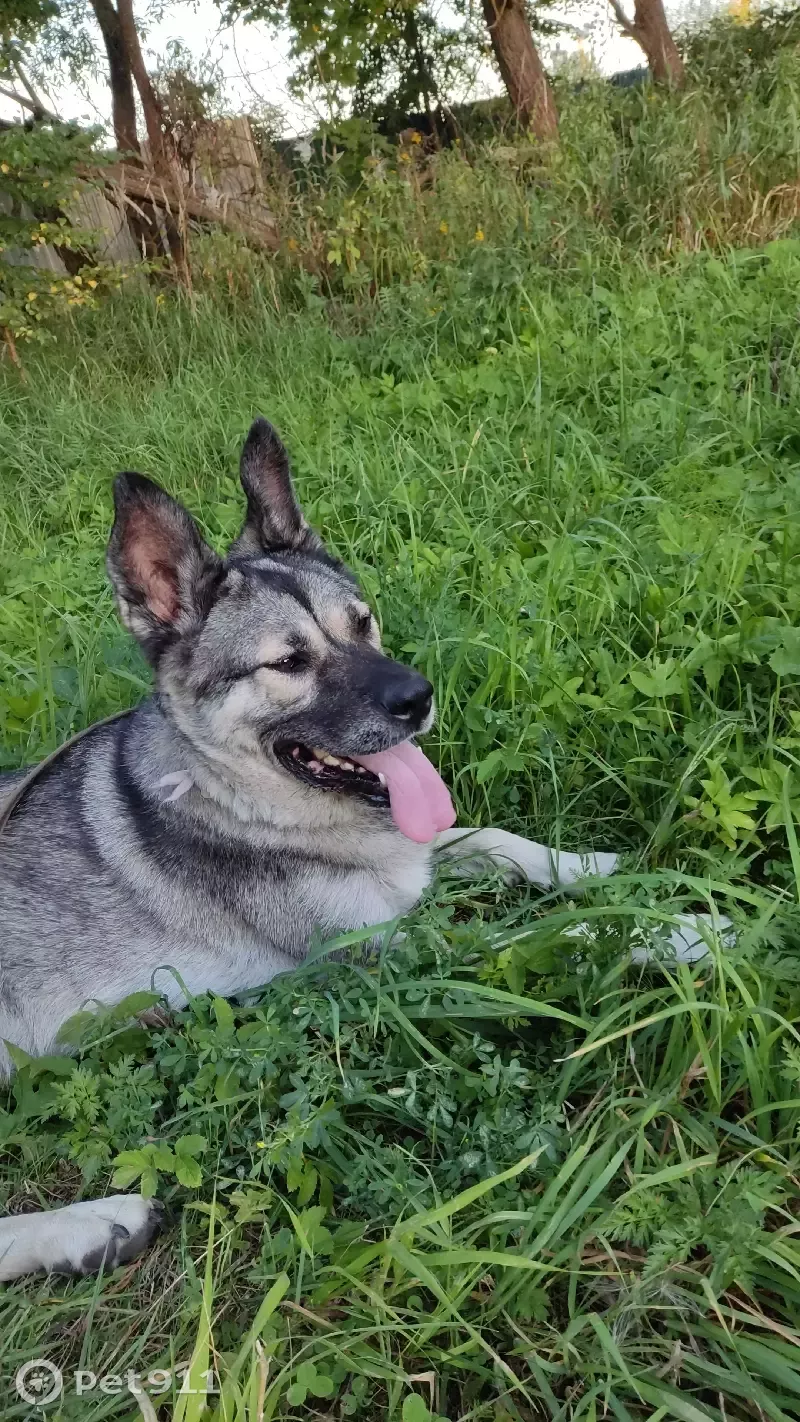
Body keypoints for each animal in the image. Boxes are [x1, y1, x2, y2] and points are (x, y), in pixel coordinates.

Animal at [0, 415, 625, 1285]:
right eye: (288, 662)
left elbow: (500, 841)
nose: (419, 698)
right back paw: (91, 1224)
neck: (234, 796)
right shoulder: (382, 954)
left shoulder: (411, 856)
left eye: (362, 623)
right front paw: (683, 928)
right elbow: (547, 935)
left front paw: (596, 867)